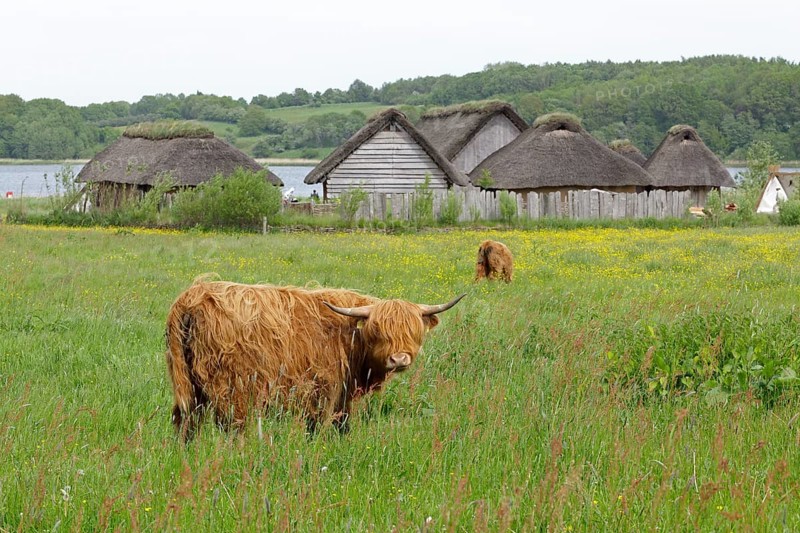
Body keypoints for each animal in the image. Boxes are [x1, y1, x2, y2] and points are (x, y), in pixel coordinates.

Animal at [165, 279, 465, 441]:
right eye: (379, 331)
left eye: (413, 331)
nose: (399, 358)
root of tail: (191, 297)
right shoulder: (323, 390)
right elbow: (319, 426)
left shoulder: (342, 394)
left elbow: (343, 424)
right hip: (232, 388)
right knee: (231, 426)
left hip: (188, 384)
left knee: (184, 421)